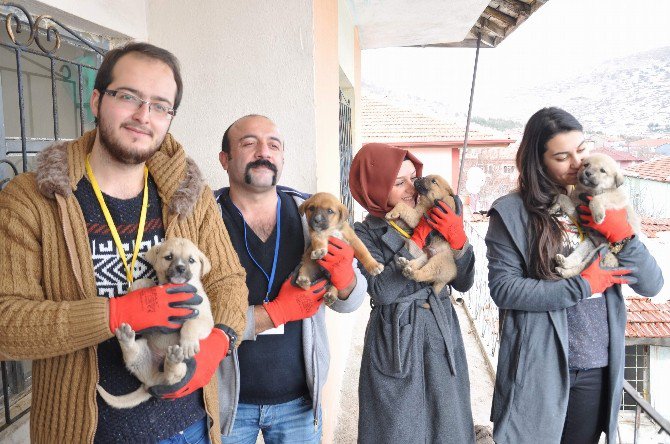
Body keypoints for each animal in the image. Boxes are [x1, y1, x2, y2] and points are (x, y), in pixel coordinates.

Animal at [96, 239, 213, 410]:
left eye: (191, 260)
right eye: (169, 257)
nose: (180, 268)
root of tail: (151, 382)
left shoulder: (205, 318)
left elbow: (191, 324)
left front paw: (188, 344)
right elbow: (147, 282)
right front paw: (139, 289)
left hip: (183, 372)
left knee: (174, 377)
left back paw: (174, 359)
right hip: (142, 351)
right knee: (132, 357)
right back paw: (126, 338)